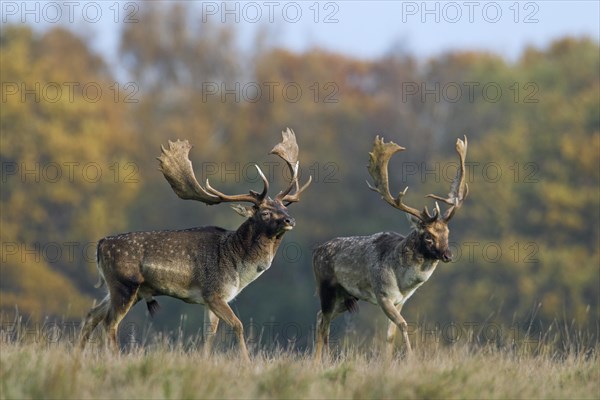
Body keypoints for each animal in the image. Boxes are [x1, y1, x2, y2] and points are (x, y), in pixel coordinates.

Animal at [80, 129, 312, 362]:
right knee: (109, 323)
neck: (238, 265)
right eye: (264, 212)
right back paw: (114, 357)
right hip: (124, 284)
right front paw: (247, 362)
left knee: (92, 315)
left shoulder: (213, 300)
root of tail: (101, 244)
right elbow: (238, 325)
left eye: (284, 207)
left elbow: (209, 335)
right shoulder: (214, 293)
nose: (290, 220)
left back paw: (79, 353)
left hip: (122, 289)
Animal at [314, 134, 468, 360]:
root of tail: (316, 252)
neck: (403, 281)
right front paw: (411, 357)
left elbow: (390, 335)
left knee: (319, 318)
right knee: (323, 321)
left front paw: (387, 362)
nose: (448, 255)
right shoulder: (383, 295)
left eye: (447, 233)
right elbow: (403, 325)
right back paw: (319, 360)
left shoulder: (401, 300)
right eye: (428, 236)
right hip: (326, 287)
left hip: (347, 296)